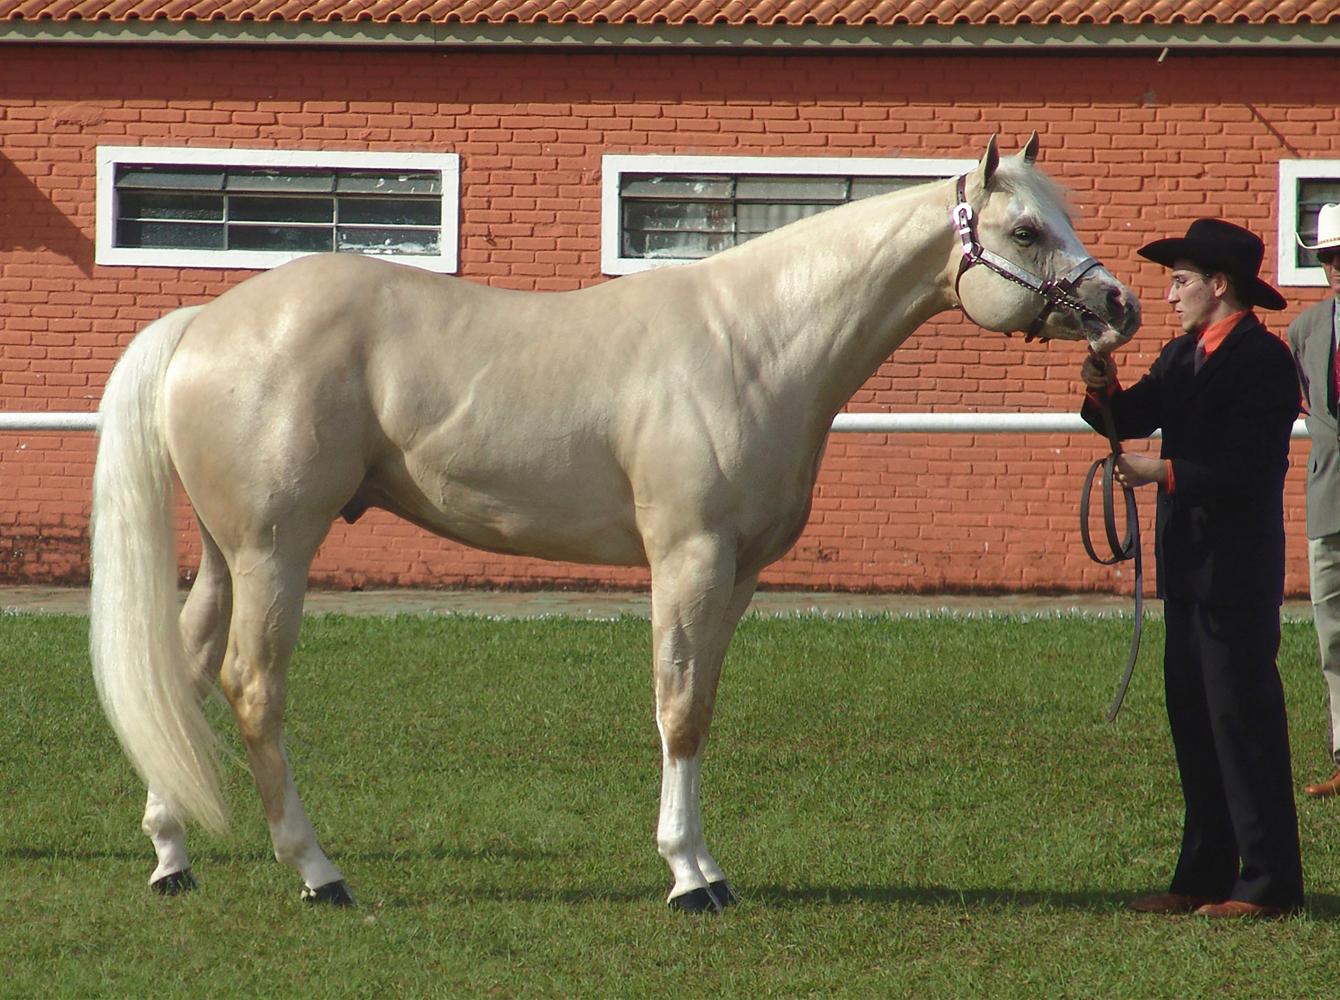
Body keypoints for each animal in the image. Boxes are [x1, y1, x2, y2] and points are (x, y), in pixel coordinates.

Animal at [91, 134, 1141, 911]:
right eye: (1025, 226)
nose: (1118, 306)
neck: (754, 342)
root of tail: (206, 321)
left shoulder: (739, 574)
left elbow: (703, 704)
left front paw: (708, 866)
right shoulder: (687, 557)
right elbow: (677, 707)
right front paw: (687, 877)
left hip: (227, 552)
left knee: (186, 667)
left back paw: (172, 855)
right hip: (276, 549)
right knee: (251, 686)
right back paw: (318, 873)